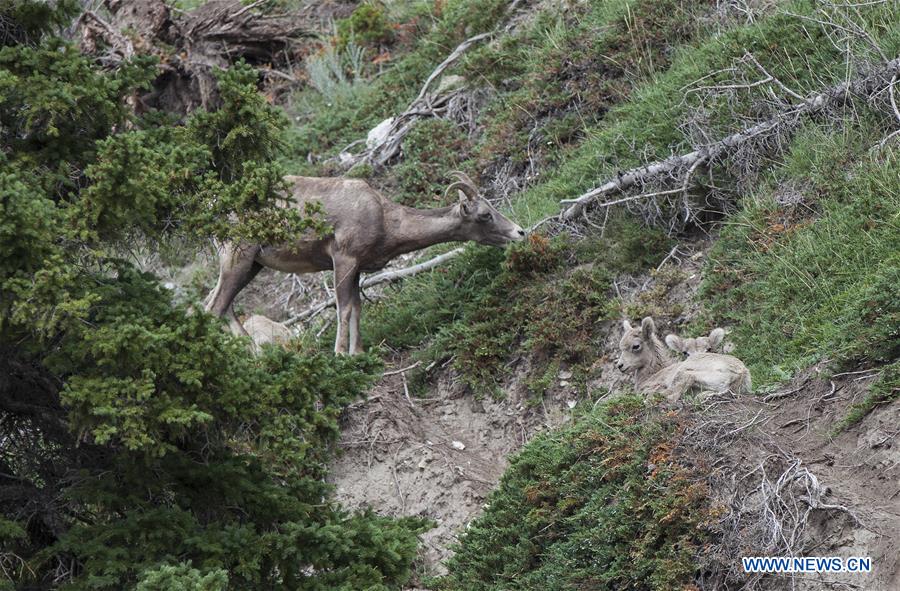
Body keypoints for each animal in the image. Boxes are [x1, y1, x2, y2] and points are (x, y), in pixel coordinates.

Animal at [205, 173, 524, 354]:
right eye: (484, 215)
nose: (519, 232)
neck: (384, 218)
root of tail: (214, 208)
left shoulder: (357, 269)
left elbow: (357, 308)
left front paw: (357, 353)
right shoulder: (343, 260)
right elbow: (344, 309)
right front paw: (339, 355)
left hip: (250, 265)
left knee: (217, 305)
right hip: (238, 259)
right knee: (216, 308)